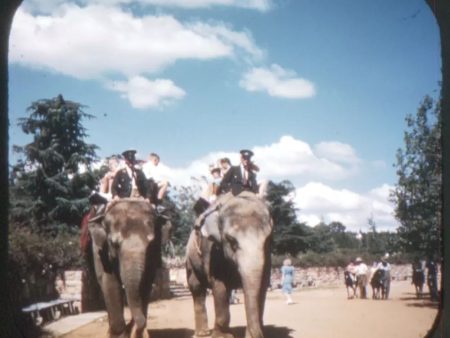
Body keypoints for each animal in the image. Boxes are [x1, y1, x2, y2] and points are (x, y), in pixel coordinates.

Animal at [88, 198, 163, 338]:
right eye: (114, 244)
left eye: (151, 243)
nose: (132, 328)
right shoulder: (102, 253)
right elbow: (110, 282)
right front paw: (118, 333)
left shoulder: (154, 255)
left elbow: (146, 283)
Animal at [185, 191, 272, 338]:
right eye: (231, 241)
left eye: (267, 241)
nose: (254, 335)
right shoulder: (212, 252)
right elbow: (219, 286)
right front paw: (223, 336)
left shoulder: (267, 257)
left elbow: (263, 285)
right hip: (190, 261)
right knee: (197, 289)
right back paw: (203, 333)